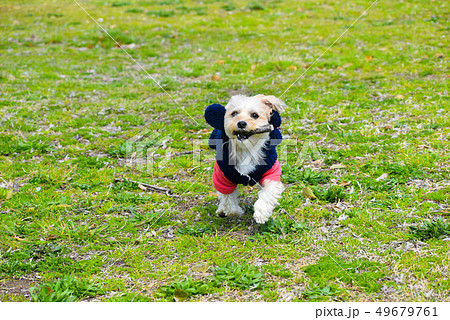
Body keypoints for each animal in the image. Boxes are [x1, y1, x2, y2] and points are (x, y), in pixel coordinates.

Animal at [204, 94, 284, 224]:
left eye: (255, 115)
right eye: (234, 113)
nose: (241, 123)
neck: (246, 148)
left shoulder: (271, 173)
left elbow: (268, 192)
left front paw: (262, 212)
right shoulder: (222, 177)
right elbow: (227, 199)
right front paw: (235, 212)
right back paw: (221, 210)